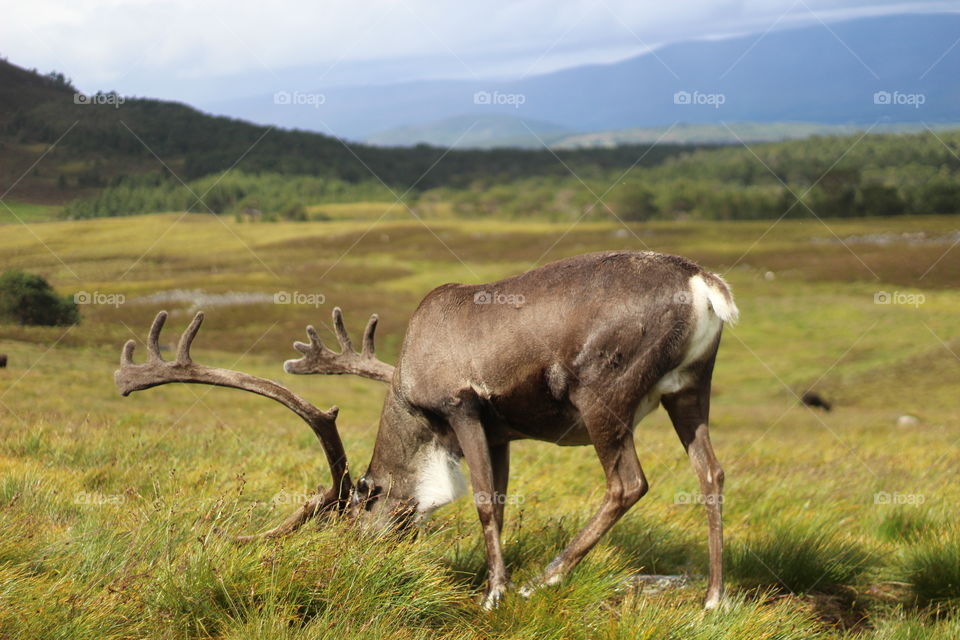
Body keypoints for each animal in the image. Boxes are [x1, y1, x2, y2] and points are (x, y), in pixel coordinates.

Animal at [116, 250, 740, 608]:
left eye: (357, 509)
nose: (353, 560)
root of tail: (703, 283)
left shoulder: (462, 405)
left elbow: (483, 502)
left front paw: (496, 594)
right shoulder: (501, 431)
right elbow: (501, 502)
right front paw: (494, 579)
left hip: (602, 395)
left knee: (627, 483)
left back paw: (546, 579)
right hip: (691, 387)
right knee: (710, 472)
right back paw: (712, 600)